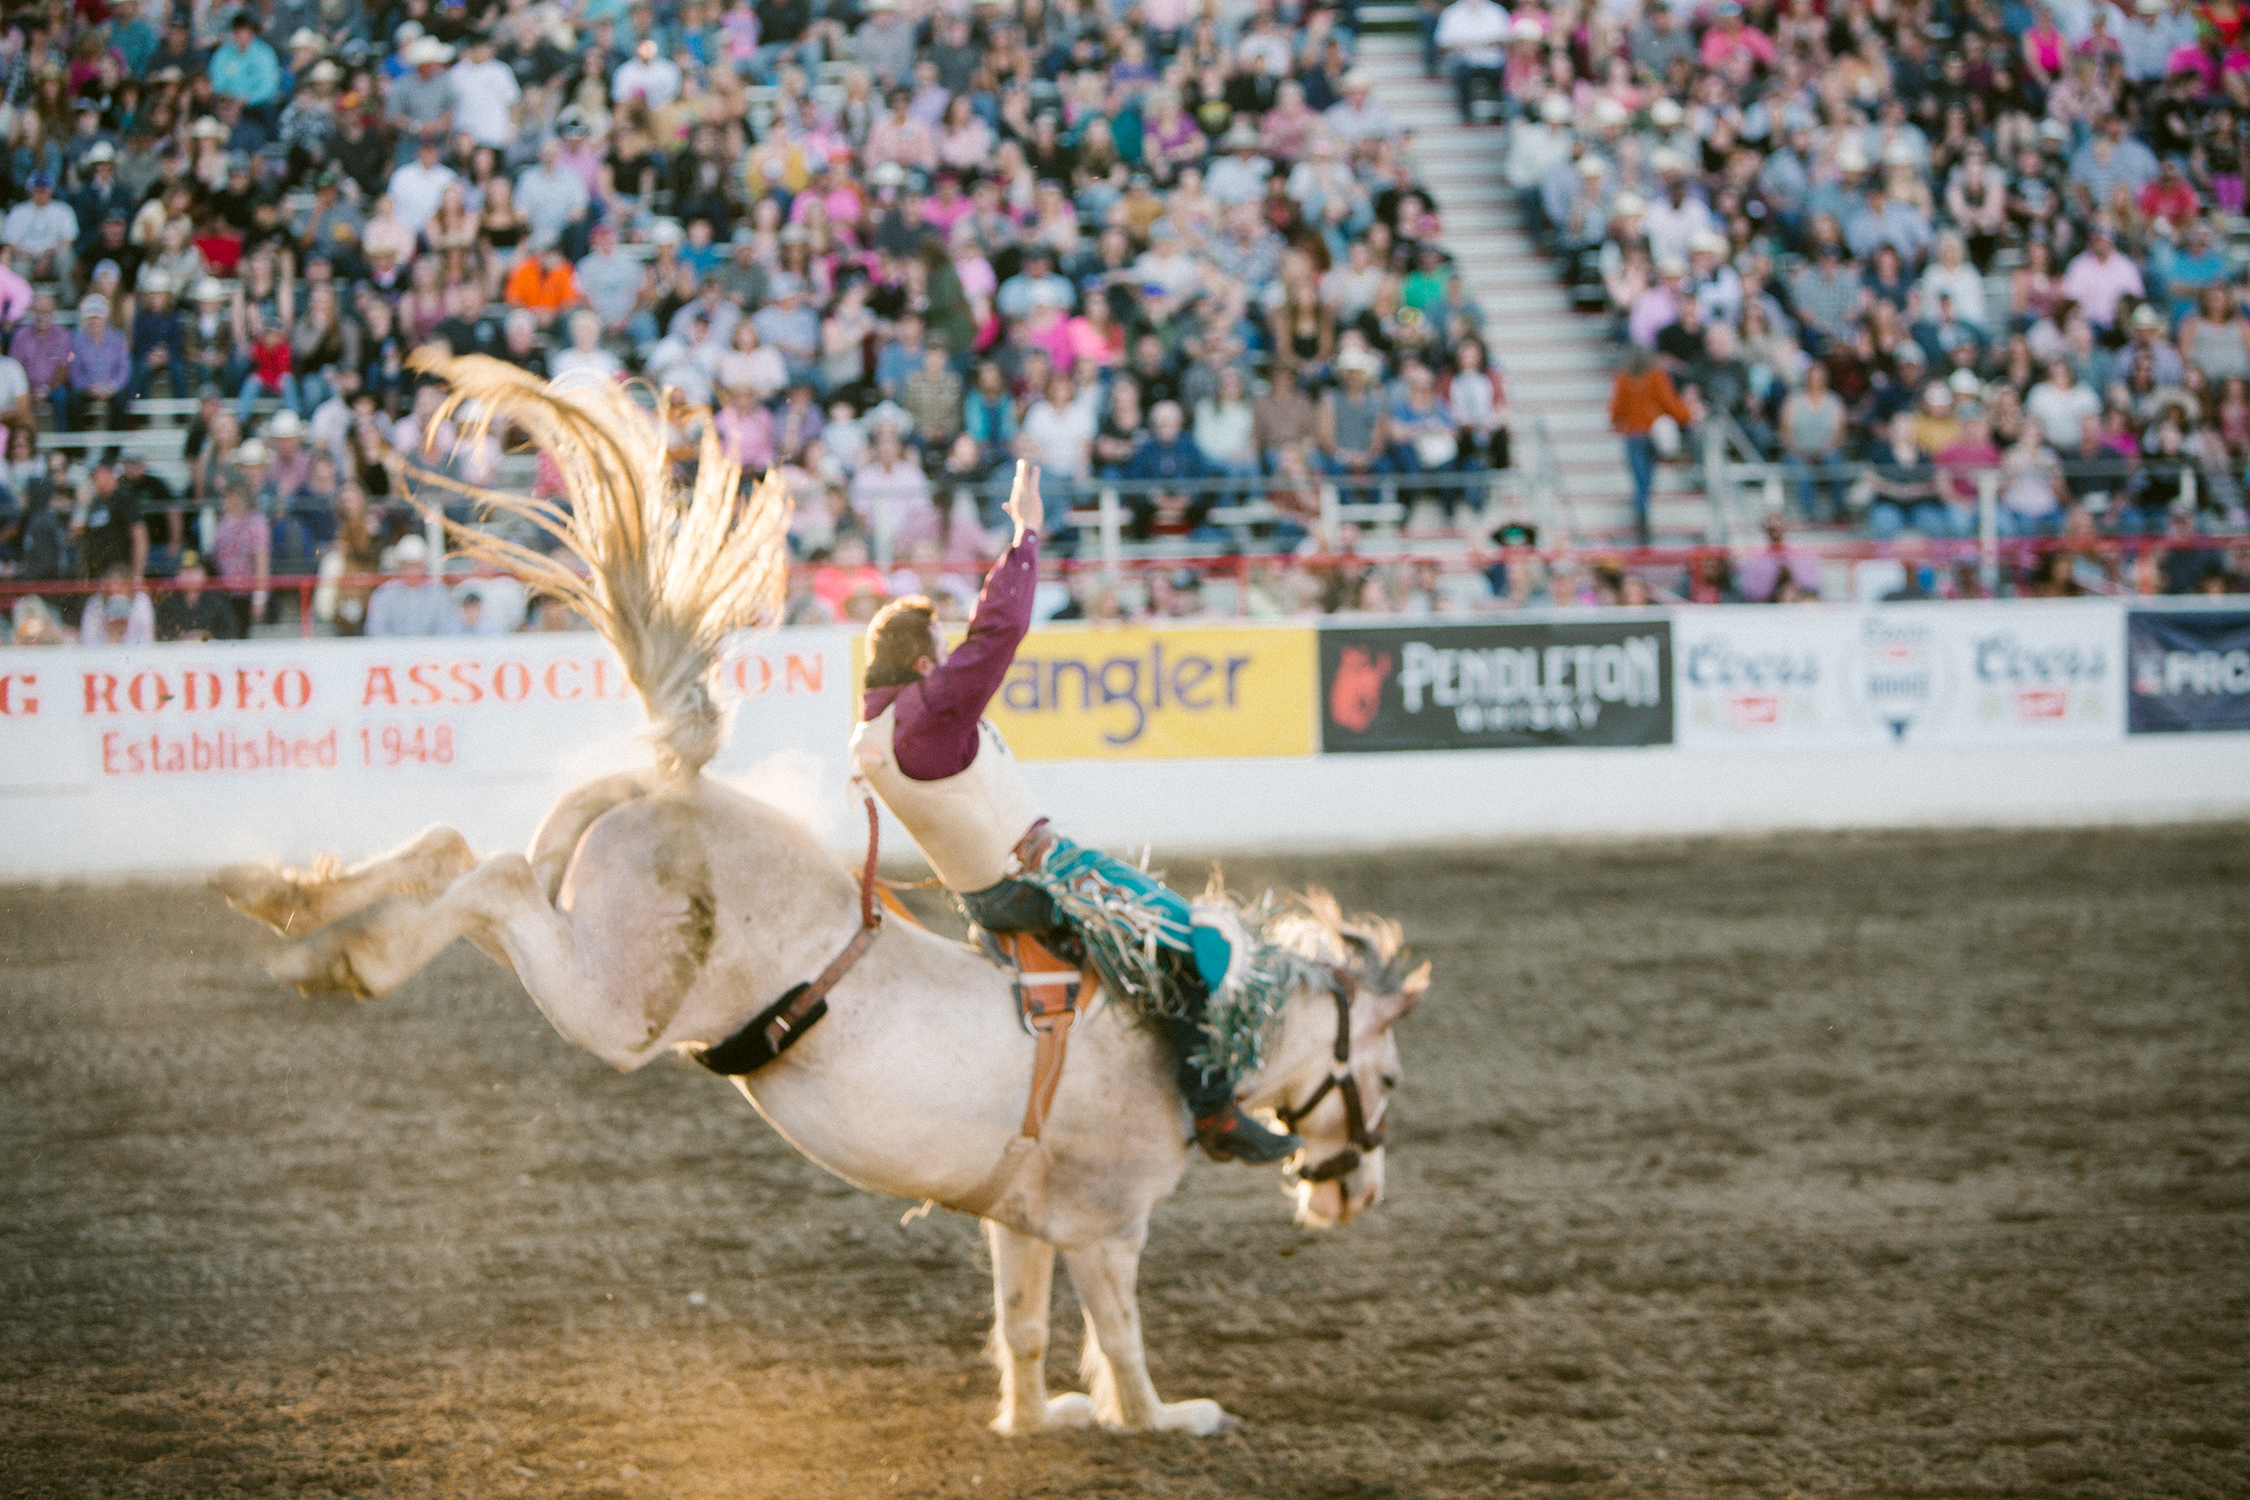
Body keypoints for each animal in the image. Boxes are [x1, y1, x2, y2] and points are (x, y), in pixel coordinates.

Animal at [211, 357, 1422, 1439]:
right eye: (1390, 1077)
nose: (1358, 1194)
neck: (1183, 1038)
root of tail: (676, 786)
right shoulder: (1105, 1227)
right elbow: (1121, 1345)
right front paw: (1165, 1419)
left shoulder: (1021, 1222)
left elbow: (1025, 1329)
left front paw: (1034, 1421)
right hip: (613, 1004)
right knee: (490, 877)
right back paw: (342, 951)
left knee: (453, 844)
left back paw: (288, 902)